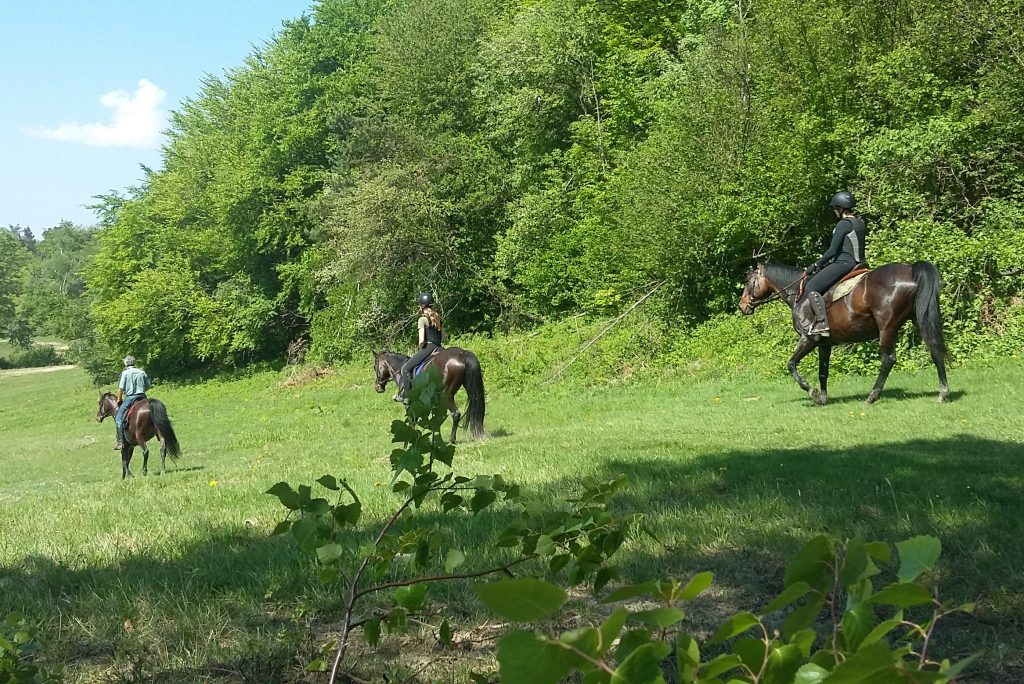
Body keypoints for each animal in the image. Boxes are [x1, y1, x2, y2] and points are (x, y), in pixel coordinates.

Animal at [737, 259, 950, 403]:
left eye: (748, 281)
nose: (742, 306)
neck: (799, 294)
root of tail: (910, 270)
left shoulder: (809, 339)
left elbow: (791, 365)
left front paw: (812, 392)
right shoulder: (825, 344)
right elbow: (823, 371)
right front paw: (823, 398)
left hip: (887, 328)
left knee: (888, 359)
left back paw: (872, 396)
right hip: (919, 319)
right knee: (934, 348)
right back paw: (943, 392)